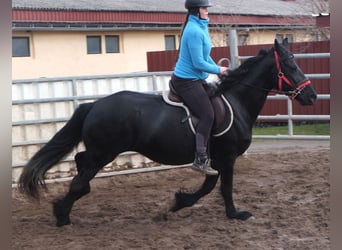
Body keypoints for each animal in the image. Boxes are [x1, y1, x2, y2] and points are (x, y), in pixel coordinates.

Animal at [18, 38, 318, 227]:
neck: (237, 101)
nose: (312, 96)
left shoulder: (215, 159)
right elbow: (223, 187)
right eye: (290, 65)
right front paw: (235, 214)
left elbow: (209, 185)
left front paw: (178, 203)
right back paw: (61, 215)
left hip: (100, 152)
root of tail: (95, 104)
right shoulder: (227, 157)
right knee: (81, 178)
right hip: (104, 152)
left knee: (81, 166)